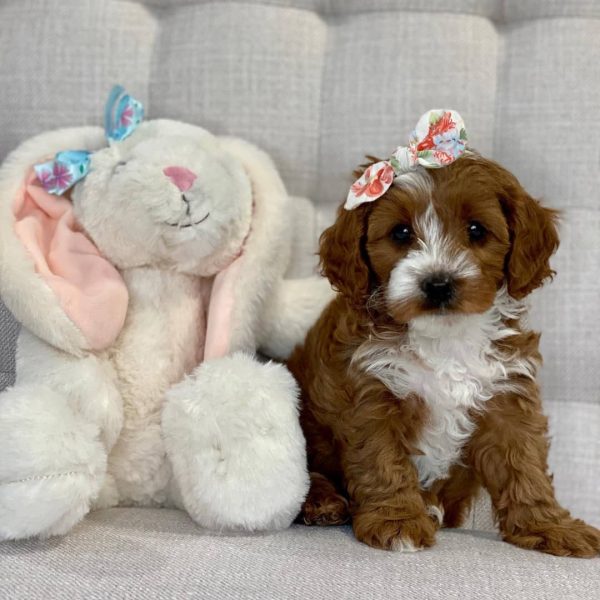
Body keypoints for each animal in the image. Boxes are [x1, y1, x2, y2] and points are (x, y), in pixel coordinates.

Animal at [288, 110, 596, 556]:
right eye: (400, 233)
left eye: (476, 230)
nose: (438, 283)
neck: (445, 337)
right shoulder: (371, 393)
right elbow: (383, 460)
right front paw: (398, 521)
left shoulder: (507, 395)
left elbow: (525, 465)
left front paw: (551, 525)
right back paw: (323, 501)